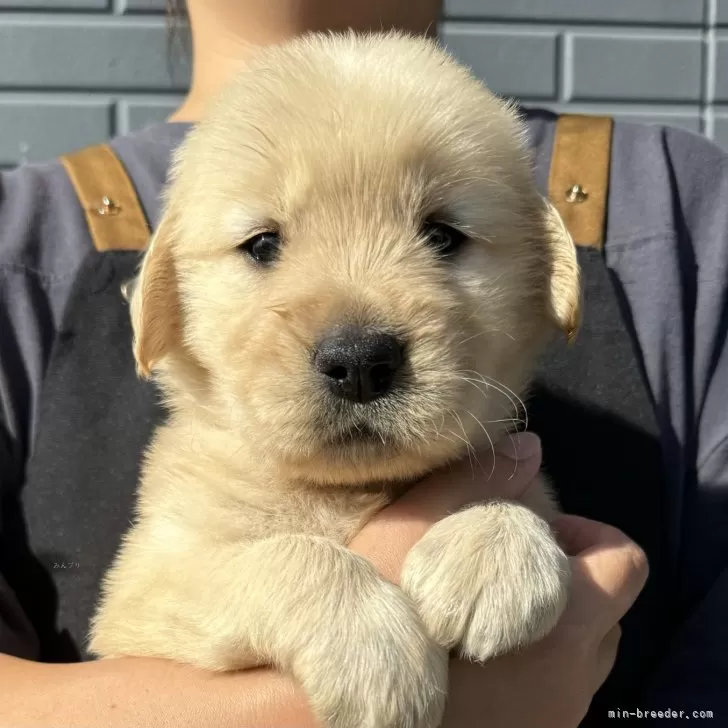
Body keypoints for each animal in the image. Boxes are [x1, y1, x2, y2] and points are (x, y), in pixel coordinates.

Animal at [89, 31, 580, 728]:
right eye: (262, 244)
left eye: (442, 235)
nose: (359, 362)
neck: (342, 492)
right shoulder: (143, 588)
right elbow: (292, 556)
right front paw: (377, 653)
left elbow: (524, 502)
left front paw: (494, 548)